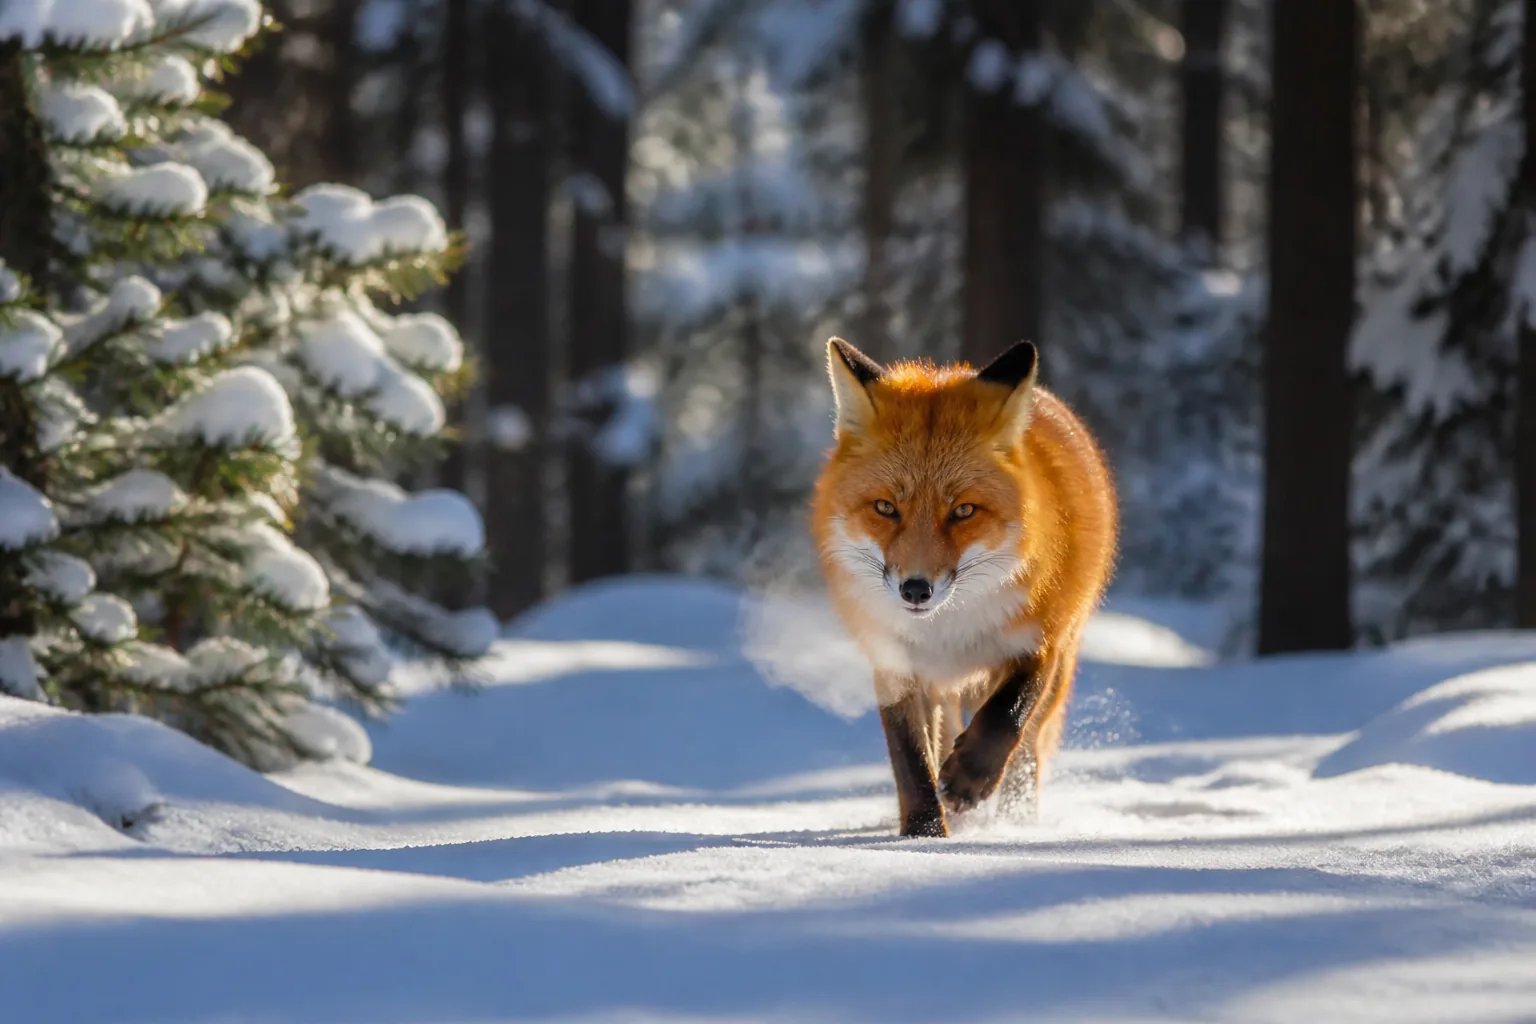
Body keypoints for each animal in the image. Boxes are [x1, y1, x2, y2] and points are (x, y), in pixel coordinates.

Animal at [812, 337, 1117, 838]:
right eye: (885, 508)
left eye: (963, 511)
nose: (915, 590)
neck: (949, 630)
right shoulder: (893, 661)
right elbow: (911, 758)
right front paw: (924, 834)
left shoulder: (1040, 641)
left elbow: (1006, 715)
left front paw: (970, 780)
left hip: (1061, 665)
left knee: (1027, 748)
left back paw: (1017, 821)